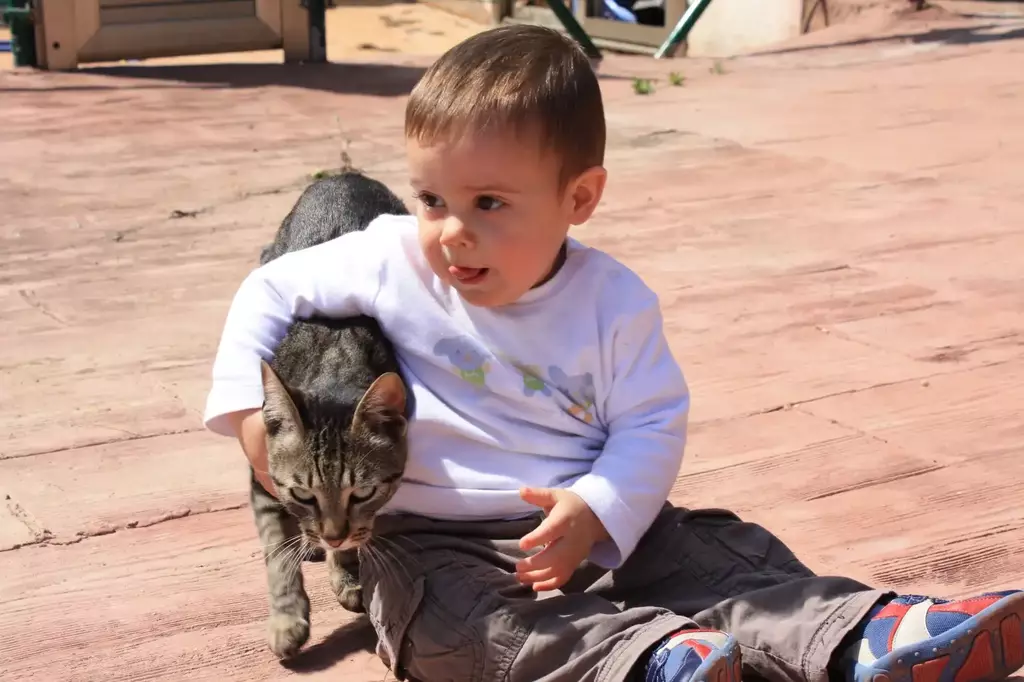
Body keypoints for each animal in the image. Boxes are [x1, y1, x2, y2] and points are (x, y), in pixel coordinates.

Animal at [249, 171, 411, 659]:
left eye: (363, 493)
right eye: (304, 494)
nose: (334, 535)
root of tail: (344, 176)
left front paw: (348, 569)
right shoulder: (262, 478)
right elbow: (276, 553)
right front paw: (287, 619)